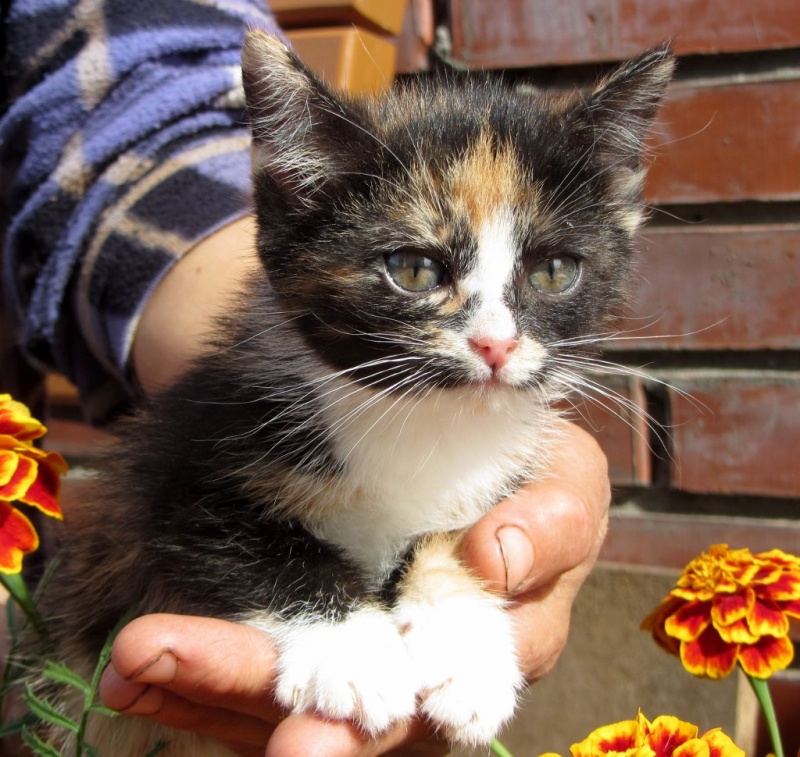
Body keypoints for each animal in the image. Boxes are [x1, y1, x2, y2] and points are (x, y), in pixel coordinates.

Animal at [32, 31, 674, 756]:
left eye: (555, 271)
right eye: (414, 269)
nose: (497, 346)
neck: (420, 419)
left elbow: (457, 536)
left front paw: (466, 654)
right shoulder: (173, 472)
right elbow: (265, 544)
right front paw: (353, 655)